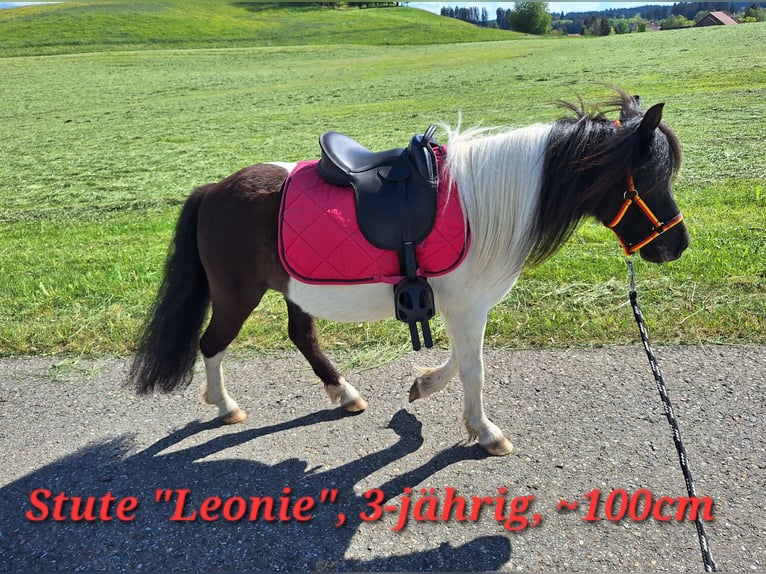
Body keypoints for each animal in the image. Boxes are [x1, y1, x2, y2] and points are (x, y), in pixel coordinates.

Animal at [128, 89, 689, 456]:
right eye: (648, 178)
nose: (677, 245)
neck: (486, 202)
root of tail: (213, 190)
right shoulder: (466, 306)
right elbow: (473, 367)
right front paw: (485, 431)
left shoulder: (461, 306)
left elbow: (463, 361)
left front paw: (422, 386)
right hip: (236, 293)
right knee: (212, 344)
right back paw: (225, 406)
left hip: (293, 289)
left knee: (302, 335)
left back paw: (344, 394)